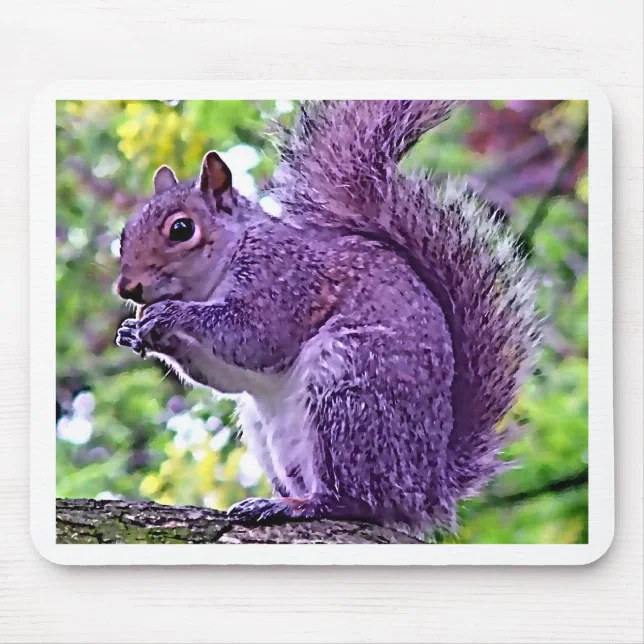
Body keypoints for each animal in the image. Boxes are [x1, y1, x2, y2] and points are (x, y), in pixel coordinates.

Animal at [115, 100, 540, 533]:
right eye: (124, 234)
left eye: (182, 229)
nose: (127, 289)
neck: (227, 260)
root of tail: (426, 490)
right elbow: (229, 377)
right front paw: (135, 333)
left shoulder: (283, 283)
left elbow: (255, 338)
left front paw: (171, 315)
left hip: (347, 393)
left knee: (354, 499)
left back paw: (297, 505)